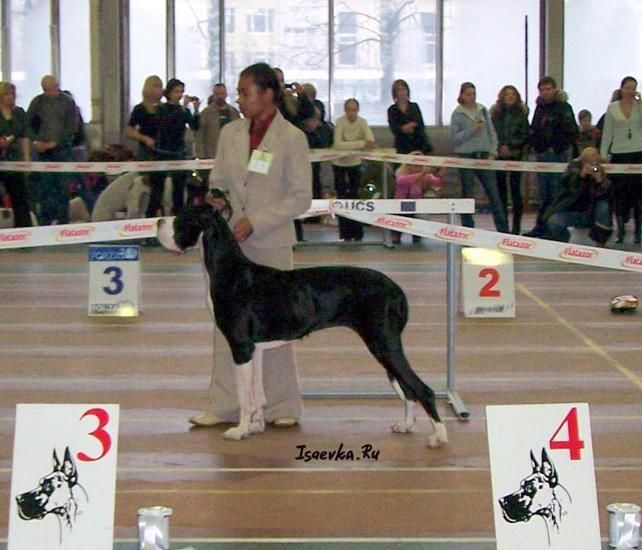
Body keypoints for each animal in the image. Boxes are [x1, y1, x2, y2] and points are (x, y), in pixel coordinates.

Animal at [157, 203, 448, 447]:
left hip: (383, 343)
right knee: (407, 388)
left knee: (421, 388)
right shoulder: (256, 349)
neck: (230, 273)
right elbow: (257, 394)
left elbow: (244, 397)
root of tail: (396, 289)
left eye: (181, 218)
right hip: (385, 346)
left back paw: (439, 436)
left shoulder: (240, 348)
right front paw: (255, 426)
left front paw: (239, 431)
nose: (159, 220)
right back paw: (406, 425)